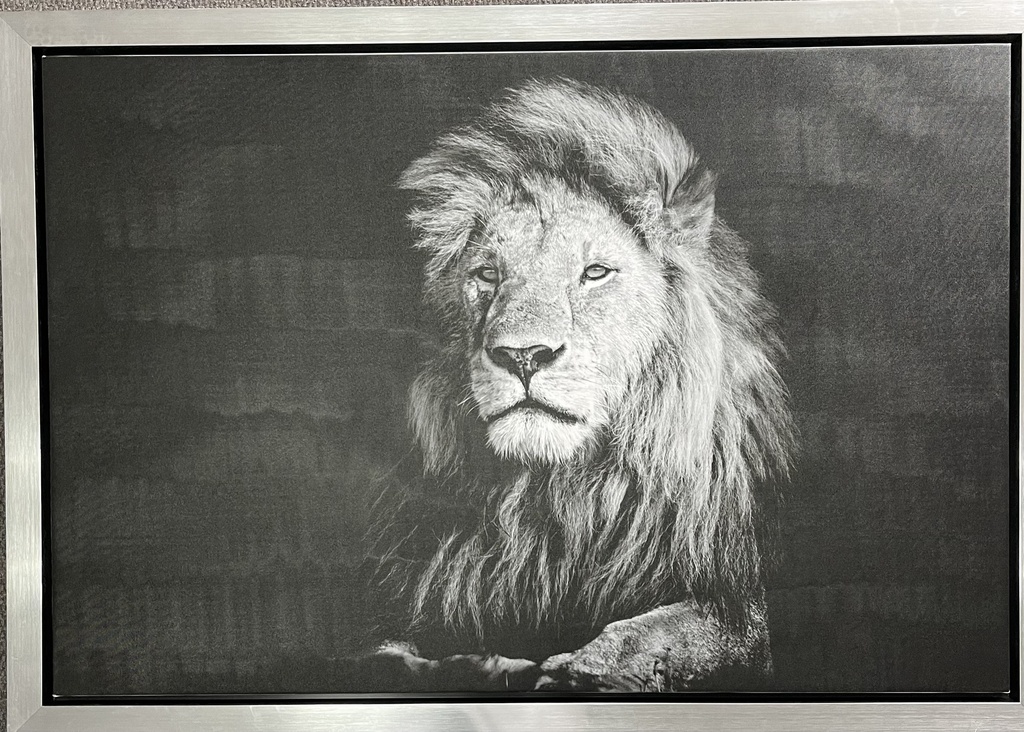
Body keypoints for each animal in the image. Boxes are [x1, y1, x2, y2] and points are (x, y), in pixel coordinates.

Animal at [364, 78, 795, 692]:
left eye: (595, 273)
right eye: (488, 275)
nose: (523, 355)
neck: (560, 497)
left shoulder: (738, 606)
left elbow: (651, 636)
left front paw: (572, 673)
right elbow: (383, 650)